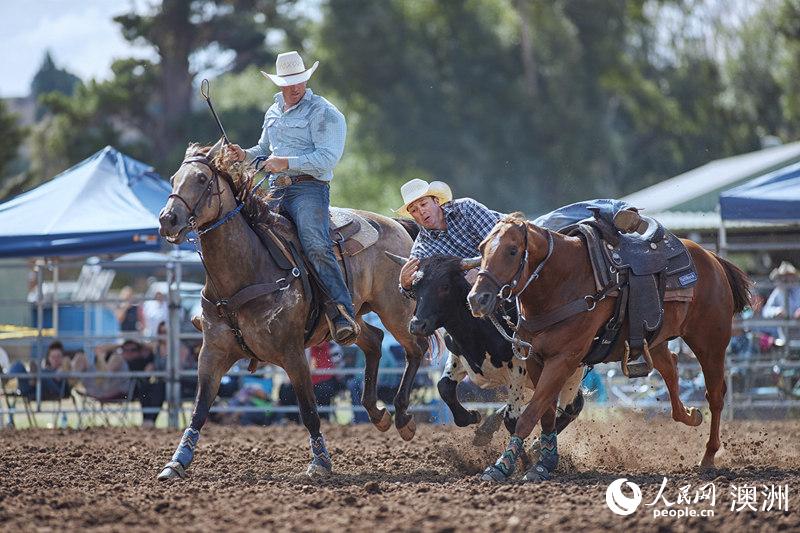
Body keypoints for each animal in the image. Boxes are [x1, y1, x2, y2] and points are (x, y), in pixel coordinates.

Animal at [157, 140, 438, 478]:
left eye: (201, 179)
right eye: (173, 179)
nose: (167, 219)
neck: (245, 270)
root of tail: (396, 225)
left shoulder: (292, 353)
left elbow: (308, 411)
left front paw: (321, 461)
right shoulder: (211, 354)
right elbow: (199, 411)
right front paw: (177, 461)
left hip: (395, 310)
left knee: (415, 350)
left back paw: (403, 417)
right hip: (351, 318)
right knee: (374, 340)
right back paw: (377, 412)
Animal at [466, 213, 752, 482]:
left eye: (512, 250)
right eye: (481, 248)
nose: (477, 298)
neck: (562, 281)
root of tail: (712, 258)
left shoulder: (564, 359)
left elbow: (529, 414)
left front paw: (502, 466)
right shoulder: (536, 358)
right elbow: (544, 413)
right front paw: (544, 462)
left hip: (710, 343)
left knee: (715, 396)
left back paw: (709, 456)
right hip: (655, 340)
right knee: (671, 367)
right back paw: (690, 415)